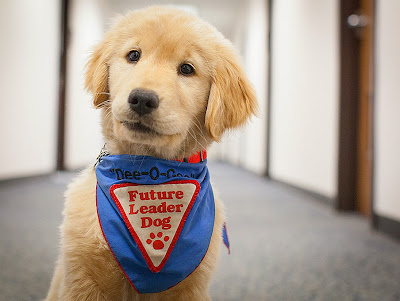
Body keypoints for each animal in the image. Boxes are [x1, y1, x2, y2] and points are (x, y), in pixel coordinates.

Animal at [45, 5, 258, 300]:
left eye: (187, 69)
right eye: (134, 55)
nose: (142, 99)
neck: (148, 168)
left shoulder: (191, 288)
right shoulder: (82, 279)